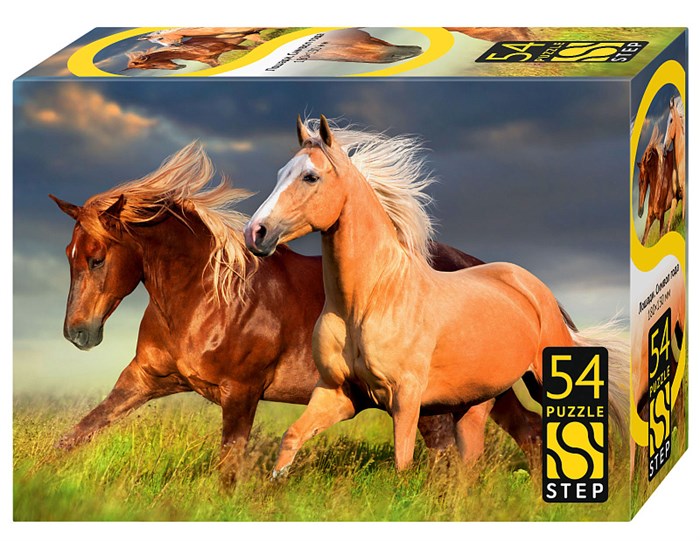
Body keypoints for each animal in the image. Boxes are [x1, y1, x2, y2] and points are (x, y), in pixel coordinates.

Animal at [49, 142, 543, 481]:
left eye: (97, 258)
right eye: (70, 255)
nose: (78, 334)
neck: (207, 299)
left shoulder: (242, 392)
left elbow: (229, 465)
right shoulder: (144, 379)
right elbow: (79, 433)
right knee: (521, 432)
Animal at [125, 37, 255, 71]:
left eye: (153, 64)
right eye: (145, 69)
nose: (178, 67)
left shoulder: (229, 46)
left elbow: (250, 47)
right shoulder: (212, 60)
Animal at [244, 115, 629, 475]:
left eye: (310, 177)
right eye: (281, 173)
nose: (255, 232)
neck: (370, 301)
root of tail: (534, 288)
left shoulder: (405, 398)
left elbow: (402, 461)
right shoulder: (338, 393)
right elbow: (292, 437)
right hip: (477, 400)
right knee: (481, 455)